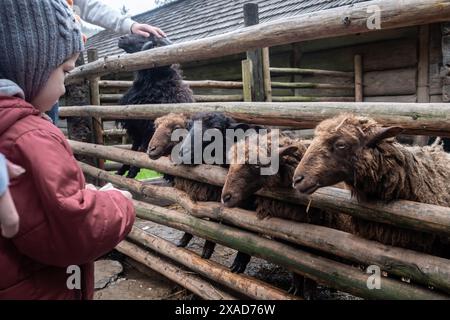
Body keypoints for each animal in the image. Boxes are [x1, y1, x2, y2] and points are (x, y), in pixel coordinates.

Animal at [117, 34, 194, 179]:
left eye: (145, 38)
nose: (121, 38)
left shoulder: (149, 130)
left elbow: (143, 150)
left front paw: (131, 173)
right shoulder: (137, 128)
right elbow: (133, 149)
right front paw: (122, 170)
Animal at [221, 131, 356, 298]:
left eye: (257, 164)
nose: (225, 197)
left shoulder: (317, 239)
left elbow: (313, 269)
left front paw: (309, 293)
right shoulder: (288, 235)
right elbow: (294, 264)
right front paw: (296, 290)